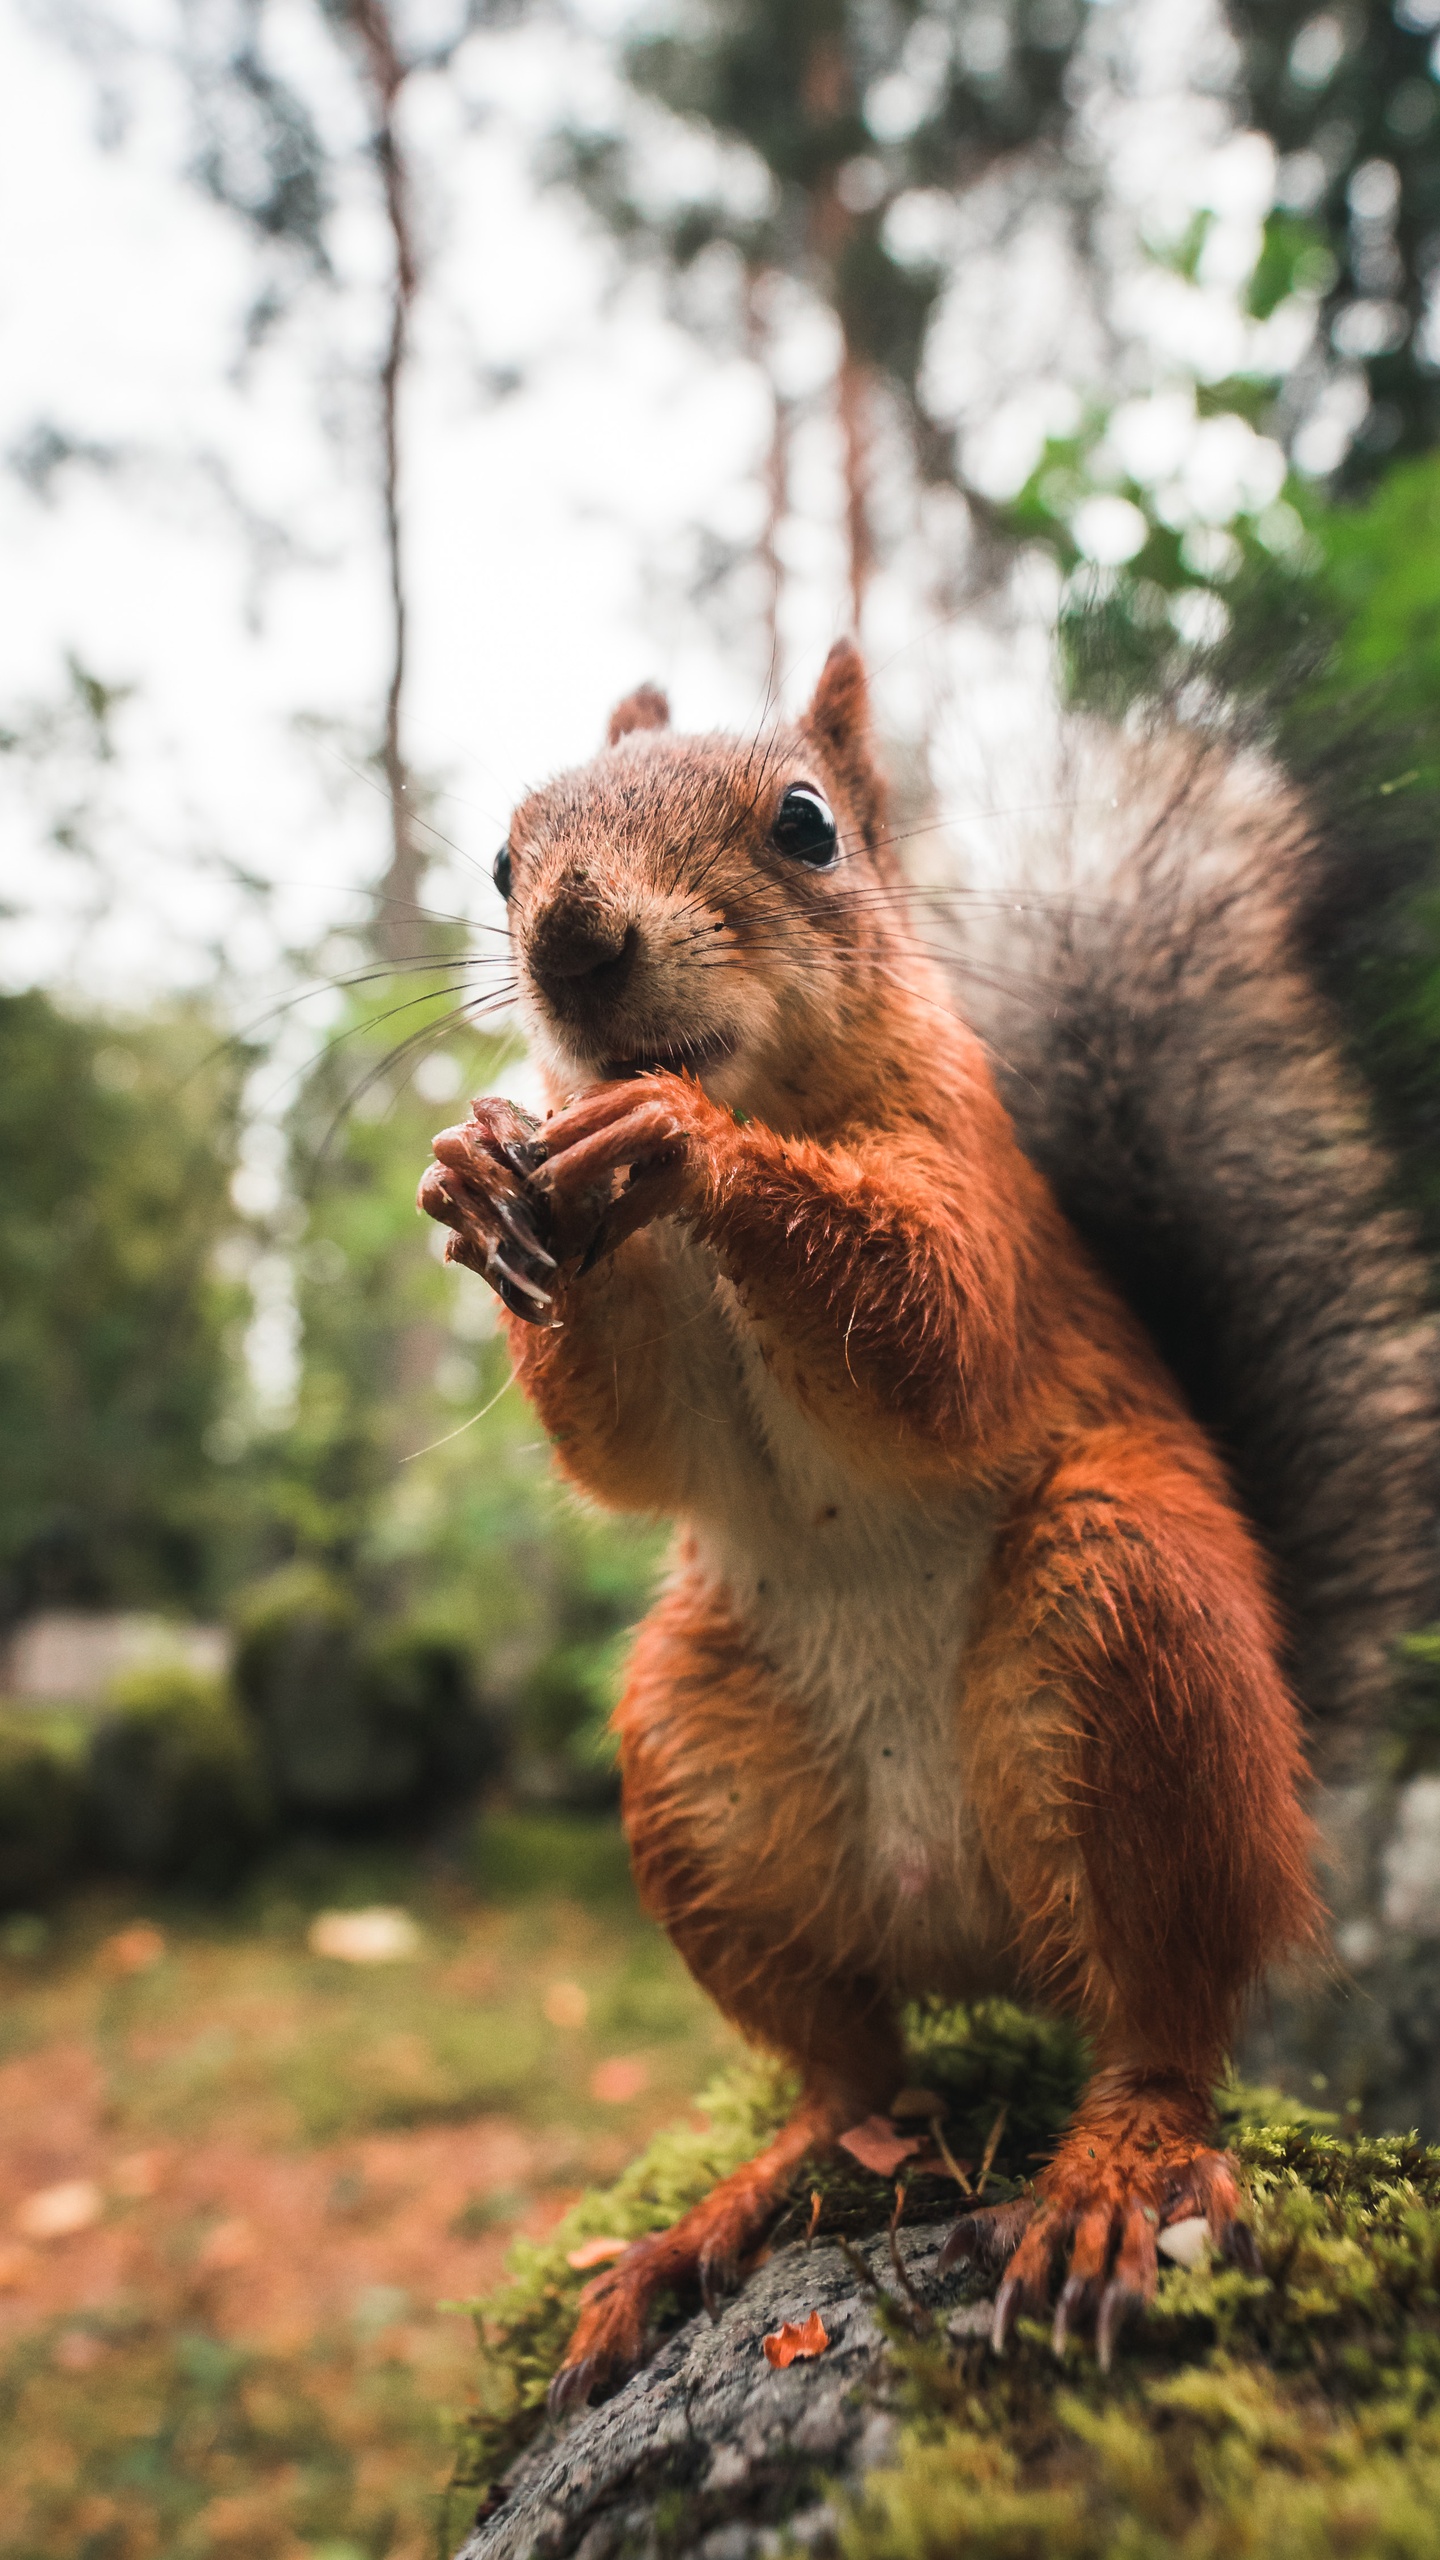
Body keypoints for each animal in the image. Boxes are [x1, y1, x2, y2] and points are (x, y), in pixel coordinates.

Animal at [412, 645, 1311, 2396]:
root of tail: (973, 1933)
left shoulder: (975, 1181)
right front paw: (478, 1167)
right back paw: (712, 2219)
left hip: (1133, 1612)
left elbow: (934, 1319)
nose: (571, 939)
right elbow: (626, 1436)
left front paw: (689, 1144)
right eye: (500, 861)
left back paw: (1116, 2176)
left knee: (1164, 2028)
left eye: (808, 826)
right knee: (852, 2080)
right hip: (696, 1758)